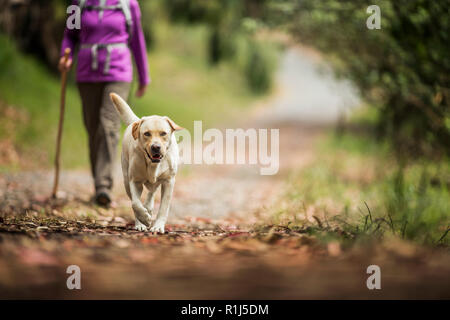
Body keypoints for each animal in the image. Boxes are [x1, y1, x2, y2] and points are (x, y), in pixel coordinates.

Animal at [110, 92, 182, 232]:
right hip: (126, 179)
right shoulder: (134, 181)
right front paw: (144, 219)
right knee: (137, 198)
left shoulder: (168, 181)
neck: (153, 164)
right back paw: (141, 223)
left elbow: (163, 208)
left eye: (163, 133)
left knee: (152, 191)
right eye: (147, 134)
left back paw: (148, 207)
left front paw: (158, 226)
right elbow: (135, 203)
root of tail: (136, 120)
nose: (156, 147)